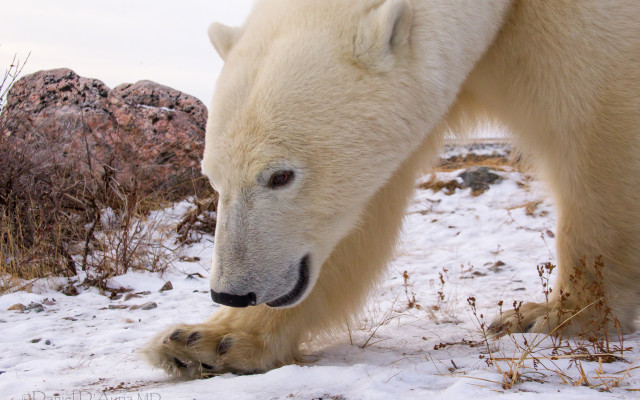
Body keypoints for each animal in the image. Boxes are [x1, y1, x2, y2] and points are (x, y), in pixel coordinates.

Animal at [143, 0, 640, 378]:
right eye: (212, 178)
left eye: (280, 175)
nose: (232, 293)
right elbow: (359, 217)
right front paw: (205, 341)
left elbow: (597, 138)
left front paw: (556, 315)